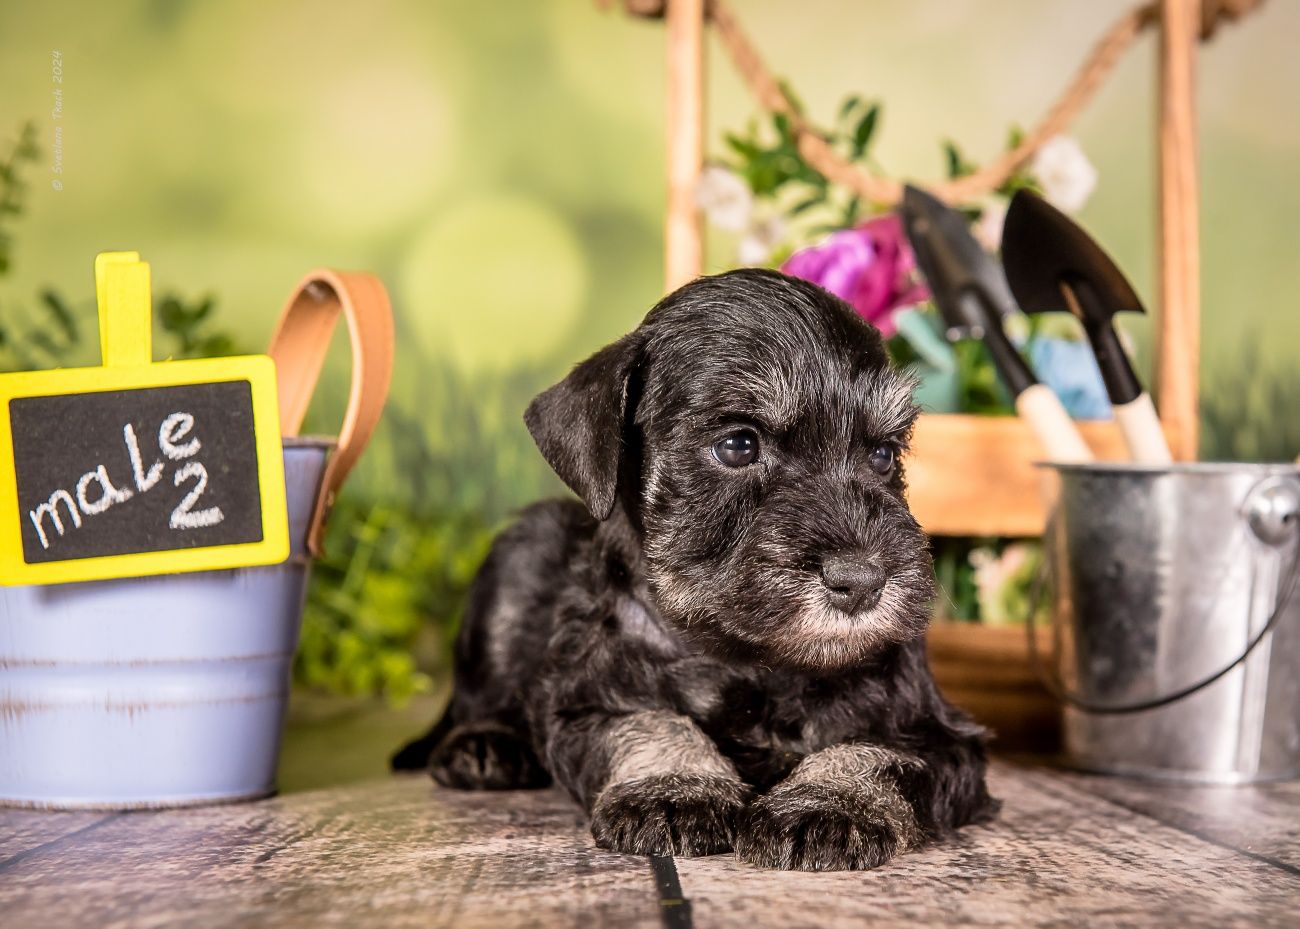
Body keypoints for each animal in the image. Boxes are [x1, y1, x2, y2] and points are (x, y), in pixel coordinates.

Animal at [392, 267, 993, 873]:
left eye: (884, 455)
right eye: (738, 444)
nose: (863, 580)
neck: (743, 656)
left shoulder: (937, 731)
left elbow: (877, 753)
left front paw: (827, 801)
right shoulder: (587, 706)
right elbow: (650, 721)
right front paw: (675, 788)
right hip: (516, 566)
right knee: (478, 700)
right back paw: (484, 745)